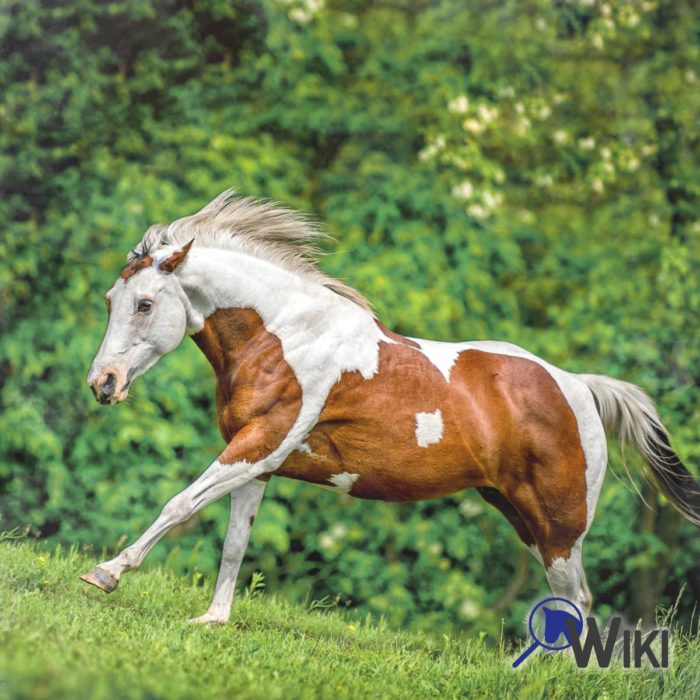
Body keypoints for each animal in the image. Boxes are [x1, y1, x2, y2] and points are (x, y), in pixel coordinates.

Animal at [82, 190, 700, 624]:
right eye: (111, 300)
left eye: (144, 304)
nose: (102, 383)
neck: (284, 337)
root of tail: (578, 387)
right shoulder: (257, 460)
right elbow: (236, 542)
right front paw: (213, 619)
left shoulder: (260, 445)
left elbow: (179, 504)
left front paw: (106, 574)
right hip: (518, 513)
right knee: (577, 597)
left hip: (558, 525)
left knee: (574, 596)